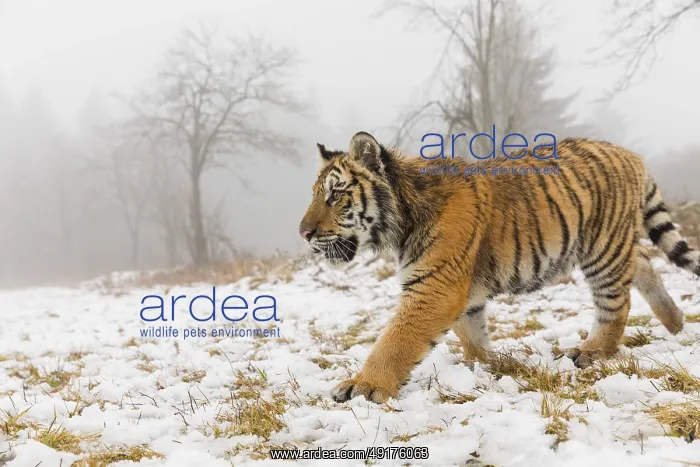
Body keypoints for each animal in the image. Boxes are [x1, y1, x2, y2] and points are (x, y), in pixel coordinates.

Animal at [299, 131, 697, 404]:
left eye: (336, 195)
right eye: (316, 195)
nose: (303, 233)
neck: (404, 215)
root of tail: (629, 153)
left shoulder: (435, 287)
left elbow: (394, 342)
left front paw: (363, 386)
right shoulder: (458, 287)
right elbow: (471, 332)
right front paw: (485, 365)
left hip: (603, 248)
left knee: (617, 303)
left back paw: (592, 351)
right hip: (613, 244)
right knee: (642, 260)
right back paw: (675, 321)